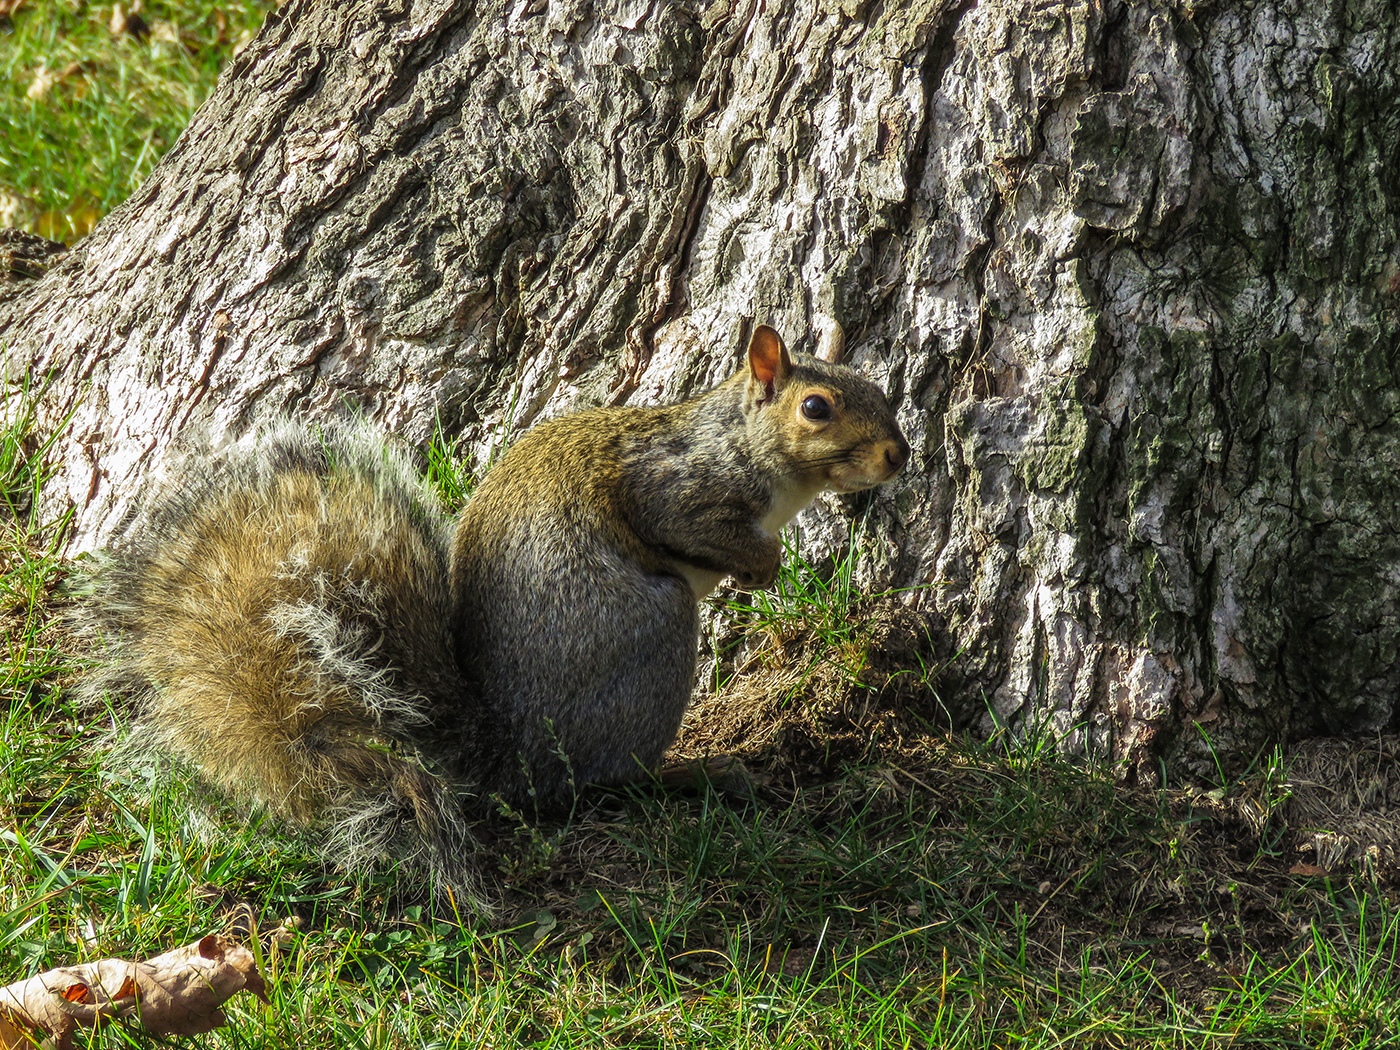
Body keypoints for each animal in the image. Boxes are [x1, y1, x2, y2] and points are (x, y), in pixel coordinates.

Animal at [81, 324, 907, 901]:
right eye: (816, 408)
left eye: (881, 388)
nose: (899, 455)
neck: (744, 449)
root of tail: (501, 751)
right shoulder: (679, 490)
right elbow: (693, 527)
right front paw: (764, 565)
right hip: (656, 636)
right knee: (601, 783)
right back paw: (691, 774)